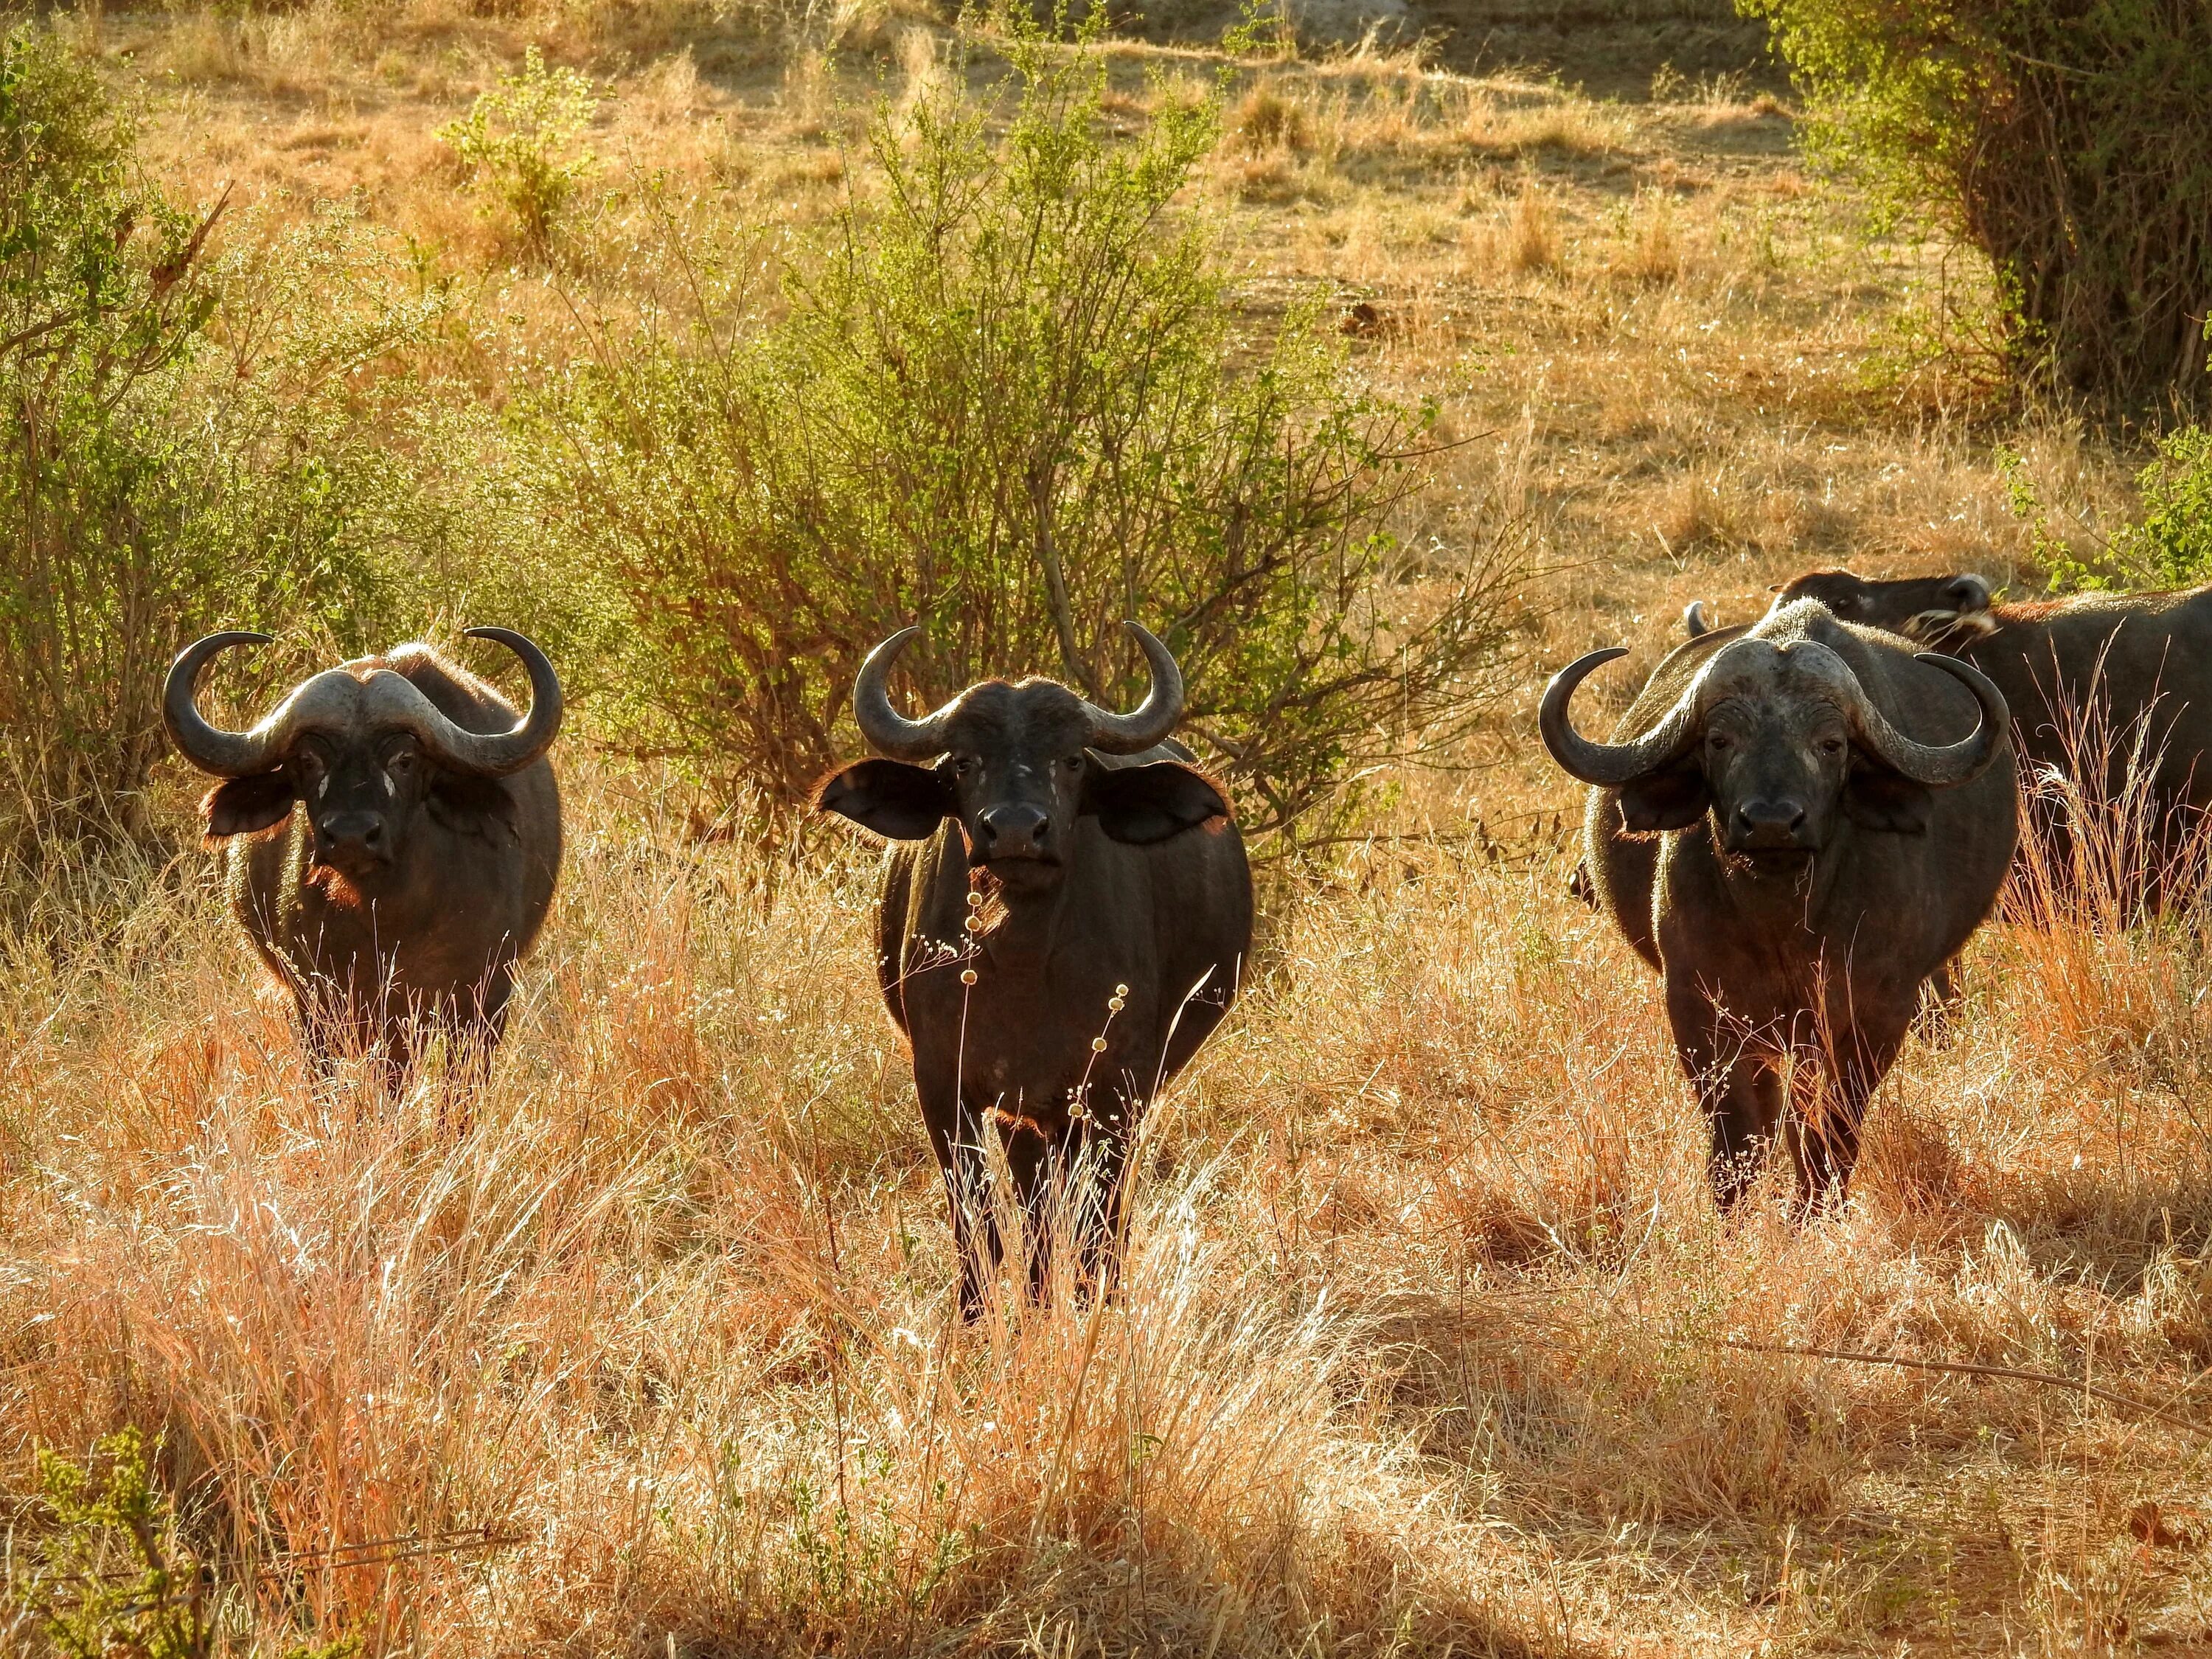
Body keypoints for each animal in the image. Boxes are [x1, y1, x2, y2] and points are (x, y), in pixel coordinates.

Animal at [169, 628, 566, 1079]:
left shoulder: (484, 1002)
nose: (352, 836)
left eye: (404, 759)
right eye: (308, 759)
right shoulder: (320, 1003)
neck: (390, 921)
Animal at [818, 619, 1265, 1310]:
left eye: (1072, 759)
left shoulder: (1114, 1090)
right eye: (964, 762)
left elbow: (1098, 1223)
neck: (1023, 961)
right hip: (1027, 1117)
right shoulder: (945, 1087)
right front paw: (979, 1318)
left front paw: (1094, 1306)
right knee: (1035, 1209)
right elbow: (978, 1225)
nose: (1016, 831)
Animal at [1548, 597, 2017, 1212]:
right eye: (1720, 741)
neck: (1782, 921)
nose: (1772, 822)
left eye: (1831, 744)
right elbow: (1740, 1136)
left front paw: (1815, 1211)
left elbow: (1829, 1129)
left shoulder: (1877, 1013)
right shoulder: (1701, 1009)